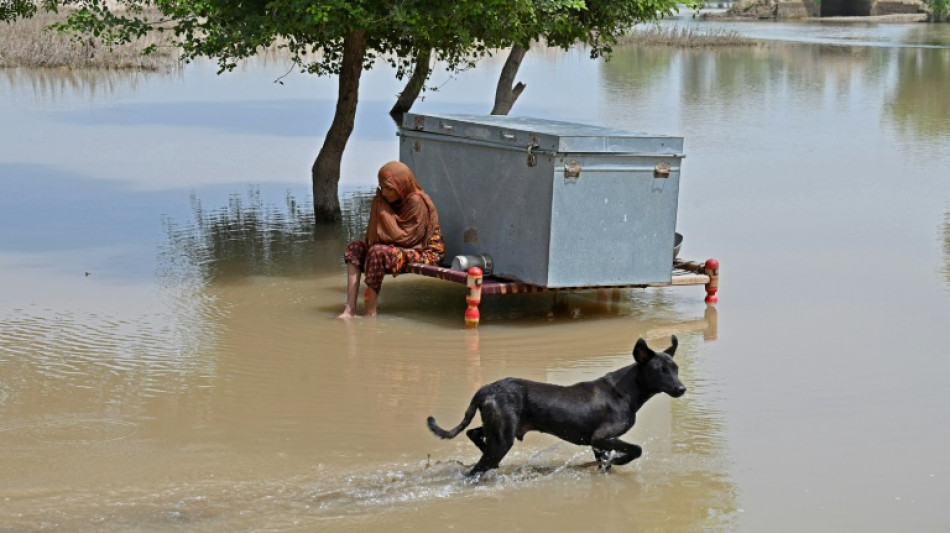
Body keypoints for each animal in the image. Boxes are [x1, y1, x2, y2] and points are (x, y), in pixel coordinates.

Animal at [428, 334, 688, 476]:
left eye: (675, 369)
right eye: (660, 371)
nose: (681, 389)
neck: (626, 390)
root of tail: (486, 389)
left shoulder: (599, 443)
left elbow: (604, 462)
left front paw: (609, 464)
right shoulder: (601, 437)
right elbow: (636, 449)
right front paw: (618, 460)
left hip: (498, 428)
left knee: (474, 434)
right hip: (503, 438)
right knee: (474, 471)